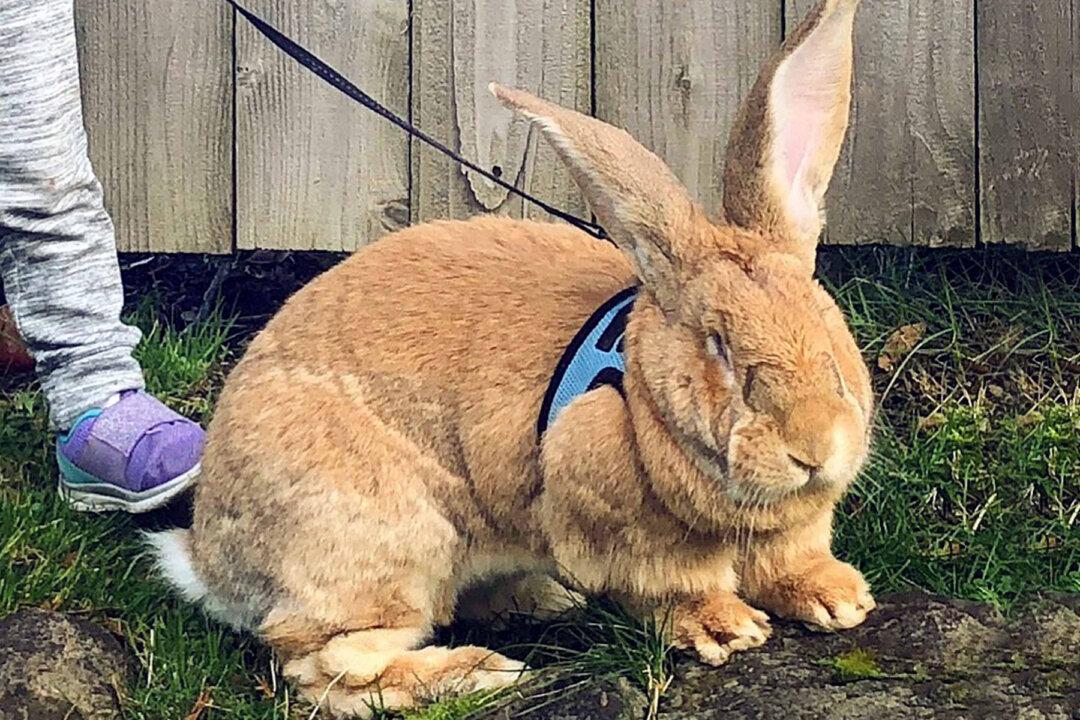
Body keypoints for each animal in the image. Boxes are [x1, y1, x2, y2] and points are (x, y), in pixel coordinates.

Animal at [148, 0, 873, 715]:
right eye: (718, 344)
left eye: (820, 316)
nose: (814, 447)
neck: (639, 394)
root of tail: (211, 562)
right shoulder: (622, 528)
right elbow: (672, 588)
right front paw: (726, 628)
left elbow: (789, 562)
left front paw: (839, 599)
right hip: (389, 548)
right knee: (328, 665)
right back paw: (481, 672)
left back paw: (544, 599)